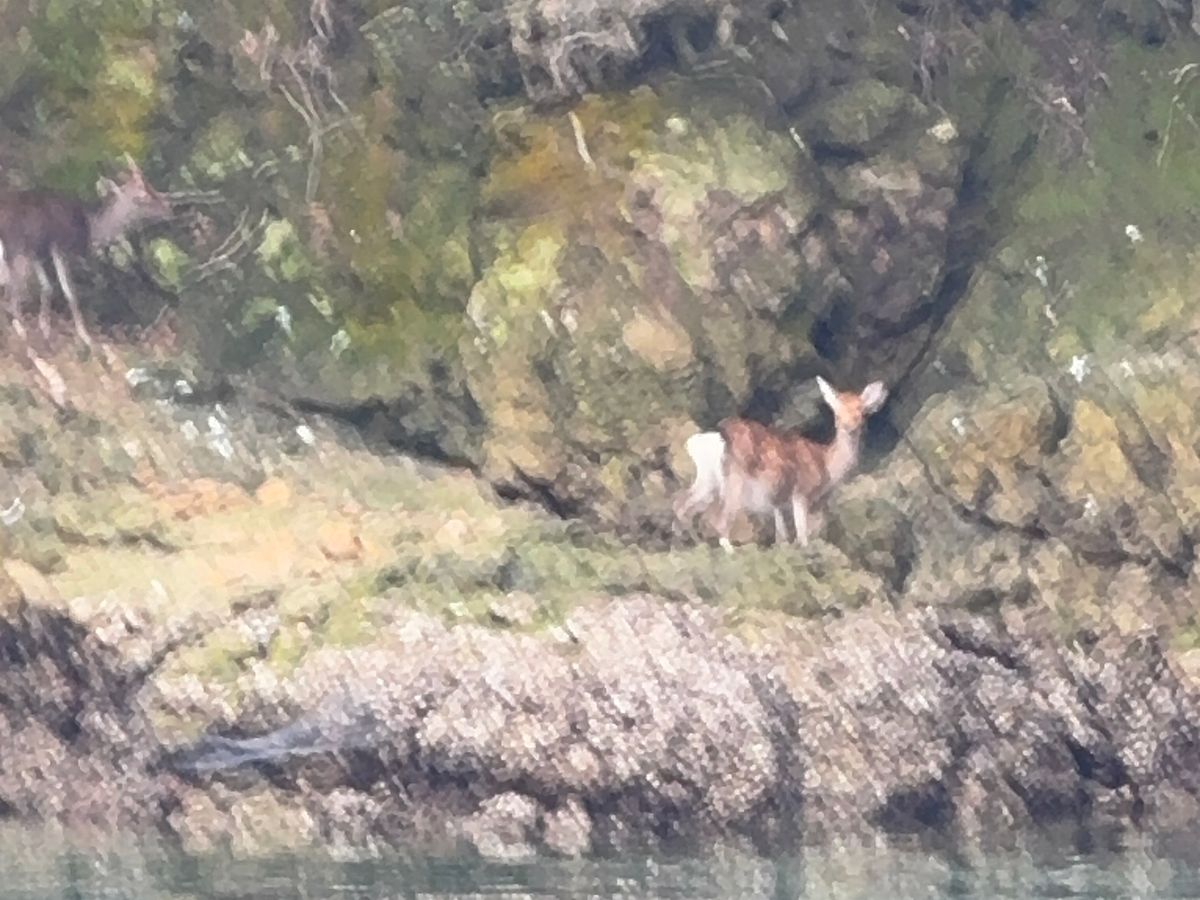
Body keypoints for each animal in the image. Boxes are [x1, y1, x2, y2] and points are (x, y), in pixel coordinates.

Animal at [0, 154, 173, 355]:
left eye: (151, 187)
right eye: (141, 197)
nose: (168, 208)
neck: (91, 228)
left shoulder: (38, 252)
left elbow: (47, 287)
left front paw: (46, 332)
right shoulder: (61, 247)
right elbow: (70, 292)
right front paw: (87, 339)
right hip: (16, 251)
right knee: (12, 298)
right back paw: (24, 343)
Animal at [673, 376, 888, 553]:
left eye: (861, 412)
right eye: (836, 412)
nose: (848, 426)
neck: (826, 464)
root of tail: (711, 437)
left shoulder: (778, 502)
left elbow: (782, 535)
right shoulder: (801, 491)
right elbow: (802, 535)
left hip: (708, 479)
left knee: (682, 505)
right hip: (735, 479)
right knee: (717, 518)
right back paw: (730, 550)